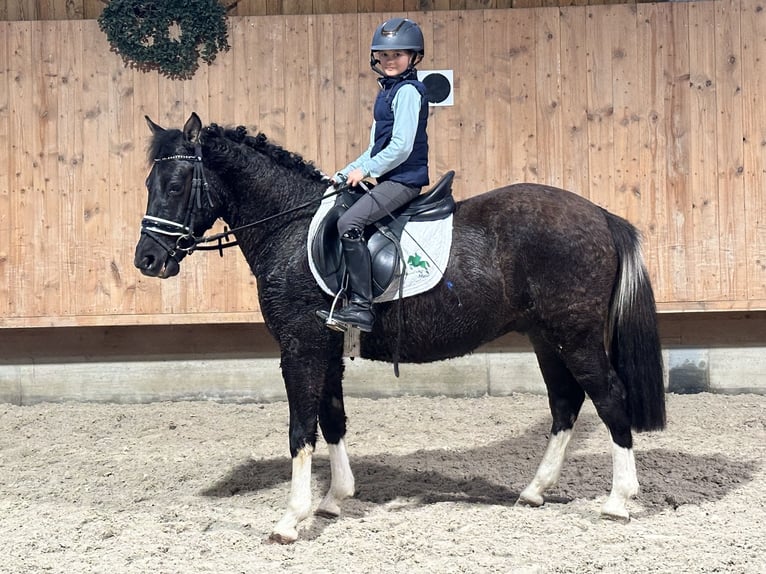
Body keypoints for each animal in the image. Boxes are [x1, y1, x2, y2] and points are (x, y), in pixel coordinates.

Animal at [136, 115, 664, 548]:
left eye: (178, 184)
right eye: (149, 182)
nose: (148, 259)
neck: (291, 226)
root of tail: (600, 215)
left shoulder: (300, 346)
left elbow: (301, 429)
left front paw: (291, 519)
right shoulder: (326, 347)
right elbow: (333, 418)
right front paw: (335, 499)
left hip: (575, 336)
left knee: (609, 396)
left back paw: (618, 501)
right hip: (545, 338)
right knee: (565, 403)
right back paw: (534, 491)